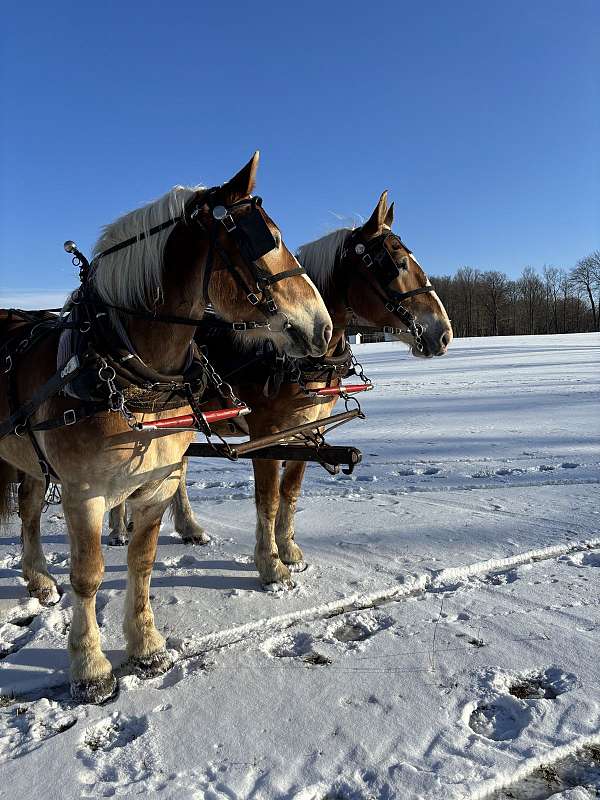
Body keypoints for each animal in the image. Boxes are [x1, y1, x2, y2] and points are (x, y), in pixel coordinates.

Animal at [109, 188, 454, 588]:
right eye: (395, 264)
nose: (443, 334)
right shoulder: (266, 434)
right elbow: (268, 498)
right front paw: (271, 566)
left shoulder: (307, 431)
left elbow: (290, 492)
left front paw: (289, 550)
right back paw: (118, 527)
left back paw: (188, 527)